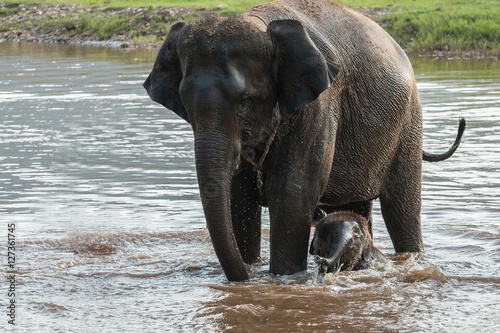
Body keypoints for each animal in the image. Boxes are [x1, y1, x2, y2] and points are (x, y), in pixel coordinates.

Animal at [144, 0, 460, 280]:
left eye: (245, 102)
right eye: (185, 103)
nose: (243, 279)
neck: (260, 23)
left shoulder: (319, 104)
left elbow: (291, 195)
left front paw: (282, 278)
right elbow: (239, 197)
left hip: (408, 124)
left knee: (401, 209)